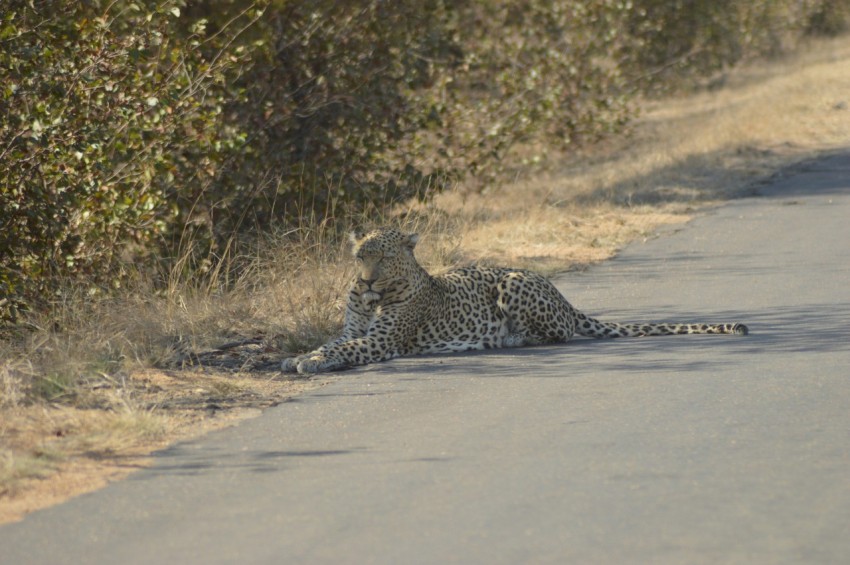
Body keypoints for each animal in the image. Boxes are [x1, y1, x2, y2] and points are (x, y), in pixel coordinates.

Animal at [282, 225, 744, 374]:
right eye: (361, 256)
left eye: (386, 258)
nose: (366, 282)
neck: (372, 300)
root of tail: (564, 296)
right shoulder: (354, 330)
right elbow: (333, 343)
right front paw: (298, 357)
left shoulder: (382, 340)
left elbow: (346, 350)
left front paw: (311, 363)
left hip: (513, 281)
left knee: (560, 334)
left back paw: (509, 338)